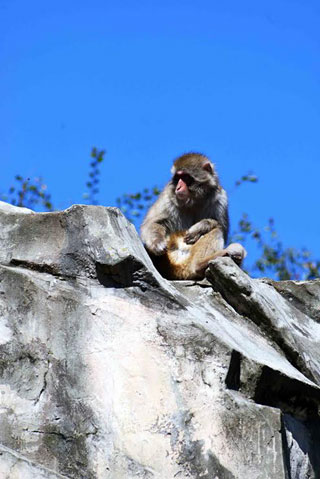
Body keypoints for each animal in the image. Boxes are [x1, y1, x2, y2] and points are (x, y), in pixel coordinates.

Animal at [141, 152, 248, 282]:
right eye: (177, 178)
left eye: (186, 178)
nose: (178, 187)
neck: (194, 199)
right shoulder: (167, 196)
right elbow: (153, 223)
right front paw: (157, 243)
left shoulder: (220, 197)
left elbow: (222, 227)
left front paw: (200, 227)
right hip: (170, 257)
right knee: (217, 231)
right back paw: (200, 265)